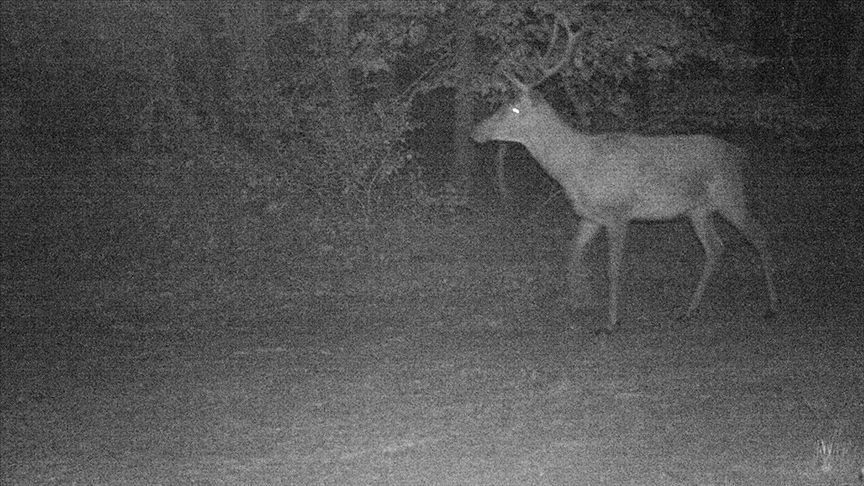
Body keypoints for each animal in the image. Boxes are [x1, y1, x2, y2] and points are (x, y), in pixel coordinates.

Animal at [476, 14, 780, 334]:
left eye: (513, 109)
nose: (476, 131)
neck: (576, 168)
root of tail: (739, 153)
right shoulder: (589, 215)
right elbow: (572, 253)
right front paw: (575, 302)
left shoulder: (619, 213)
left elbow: (613, 268)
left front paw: (611, 321)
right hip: (698, 209)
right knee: (716, 248)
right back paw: (689, 310)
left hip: (729, 194)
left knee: (760, 236)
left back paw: (772, 306)